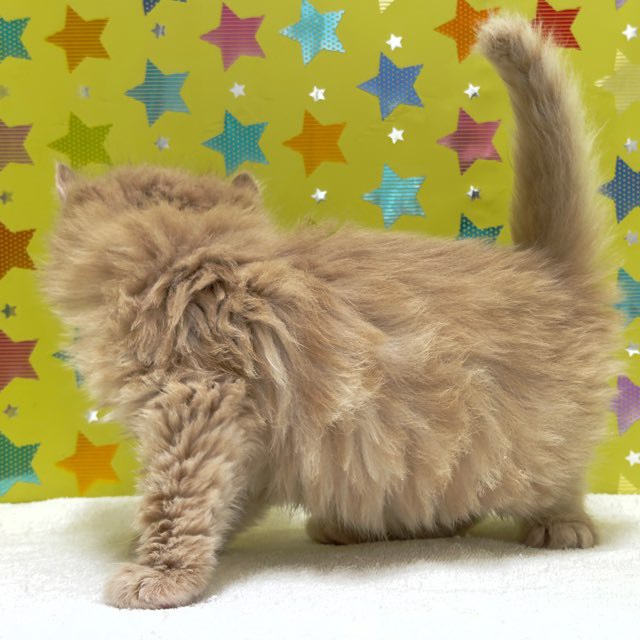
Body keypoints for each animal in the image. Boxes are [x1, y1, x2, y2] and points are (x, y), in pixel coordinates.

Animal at [42, 15, 622, 609]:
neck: (195, 253)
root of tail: (547, 265)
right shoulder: (249, 436)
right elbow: (228, 497)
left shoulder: (198, 400)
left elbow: (178, 500)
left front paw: (161, 574)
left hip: (526, 440)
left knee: (557, 477)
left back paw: (562, 524)